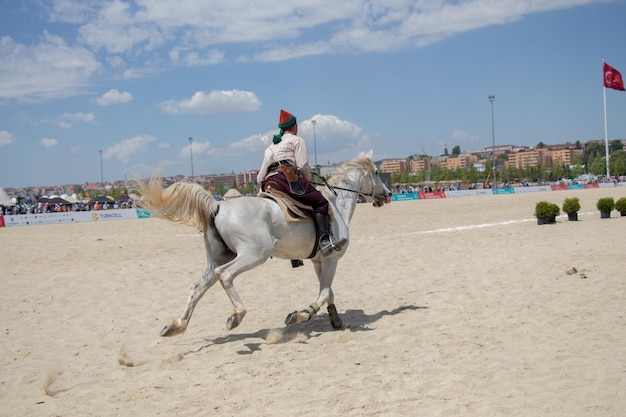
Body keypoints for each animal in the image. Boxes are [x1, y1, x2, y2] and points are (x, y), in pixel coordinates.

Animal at [138, 150, 388, 334]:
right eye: (377, 172)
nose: (386, 195)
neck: (336, 203)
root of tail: (217, 205)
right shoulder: (331, 259)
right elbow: (325, 293)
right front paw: (299, 315)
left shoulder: (320, 261)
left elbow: (328, 292)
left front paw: (336, 321)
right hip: (253, 254)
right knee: (225, 275)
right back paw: (236, 316)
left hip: (218, 257)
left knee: (198, 287)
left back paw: (177, 326)